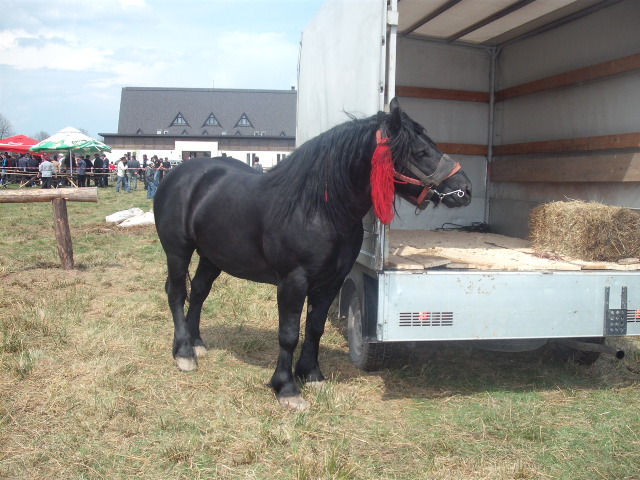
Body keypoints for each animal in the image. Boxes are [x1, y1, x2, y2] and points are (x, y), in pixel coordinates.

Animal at [154, 99, 470, 410]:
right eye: (420, 152)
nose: (464, 189)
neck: (318, 209)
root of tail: (180, 172)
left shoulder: (331, 282)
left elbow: (315, 327)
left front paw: (311, 374)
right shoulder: (293, 282)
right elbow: (289, 333)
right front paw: (286, 388)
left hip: (211, 256)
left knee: (198, 292)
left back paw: (196, 343)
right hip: (178, 251)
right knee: (177, 293)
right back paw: (183, 353)